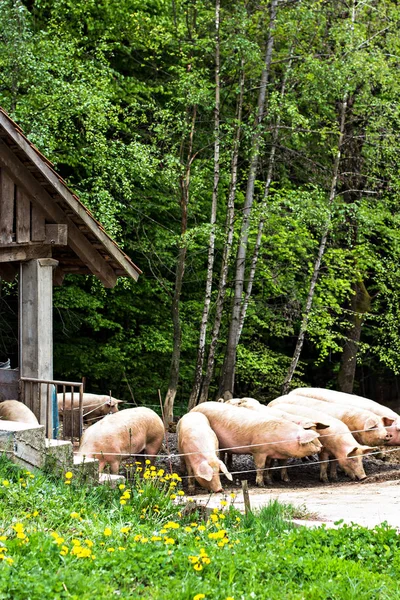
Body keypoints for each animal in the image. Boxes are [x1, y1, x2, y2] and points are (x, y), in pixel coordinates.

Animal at [191, 398, 322, 488]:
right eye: (310, 441)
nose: (321, 446)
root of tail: (195, 407)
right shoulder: (259, 451)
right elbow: (260, 467)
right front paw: (261, 484)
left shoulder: (270, 453)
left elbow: (269, 466)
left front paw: (272, 481)